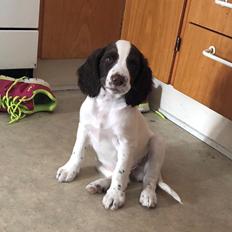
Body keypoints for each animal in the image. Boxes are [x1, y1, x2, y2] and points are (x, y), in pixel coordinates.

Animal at [55, 39, 181, 209]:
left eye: (132, 64)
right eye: (109, 59)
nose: (118, 79)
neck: (107, 105)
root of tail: (136, 172)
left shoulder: (125, 143)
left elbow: (120, 172)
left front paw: (115, 195)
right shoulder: (83, 129)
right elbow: (77, 152)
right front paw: (69, 170)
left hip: (157, 144)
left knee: (148, 179)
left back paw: (147, 195)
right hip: (101, 163)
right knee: (124, 179)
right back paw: (99, 185)